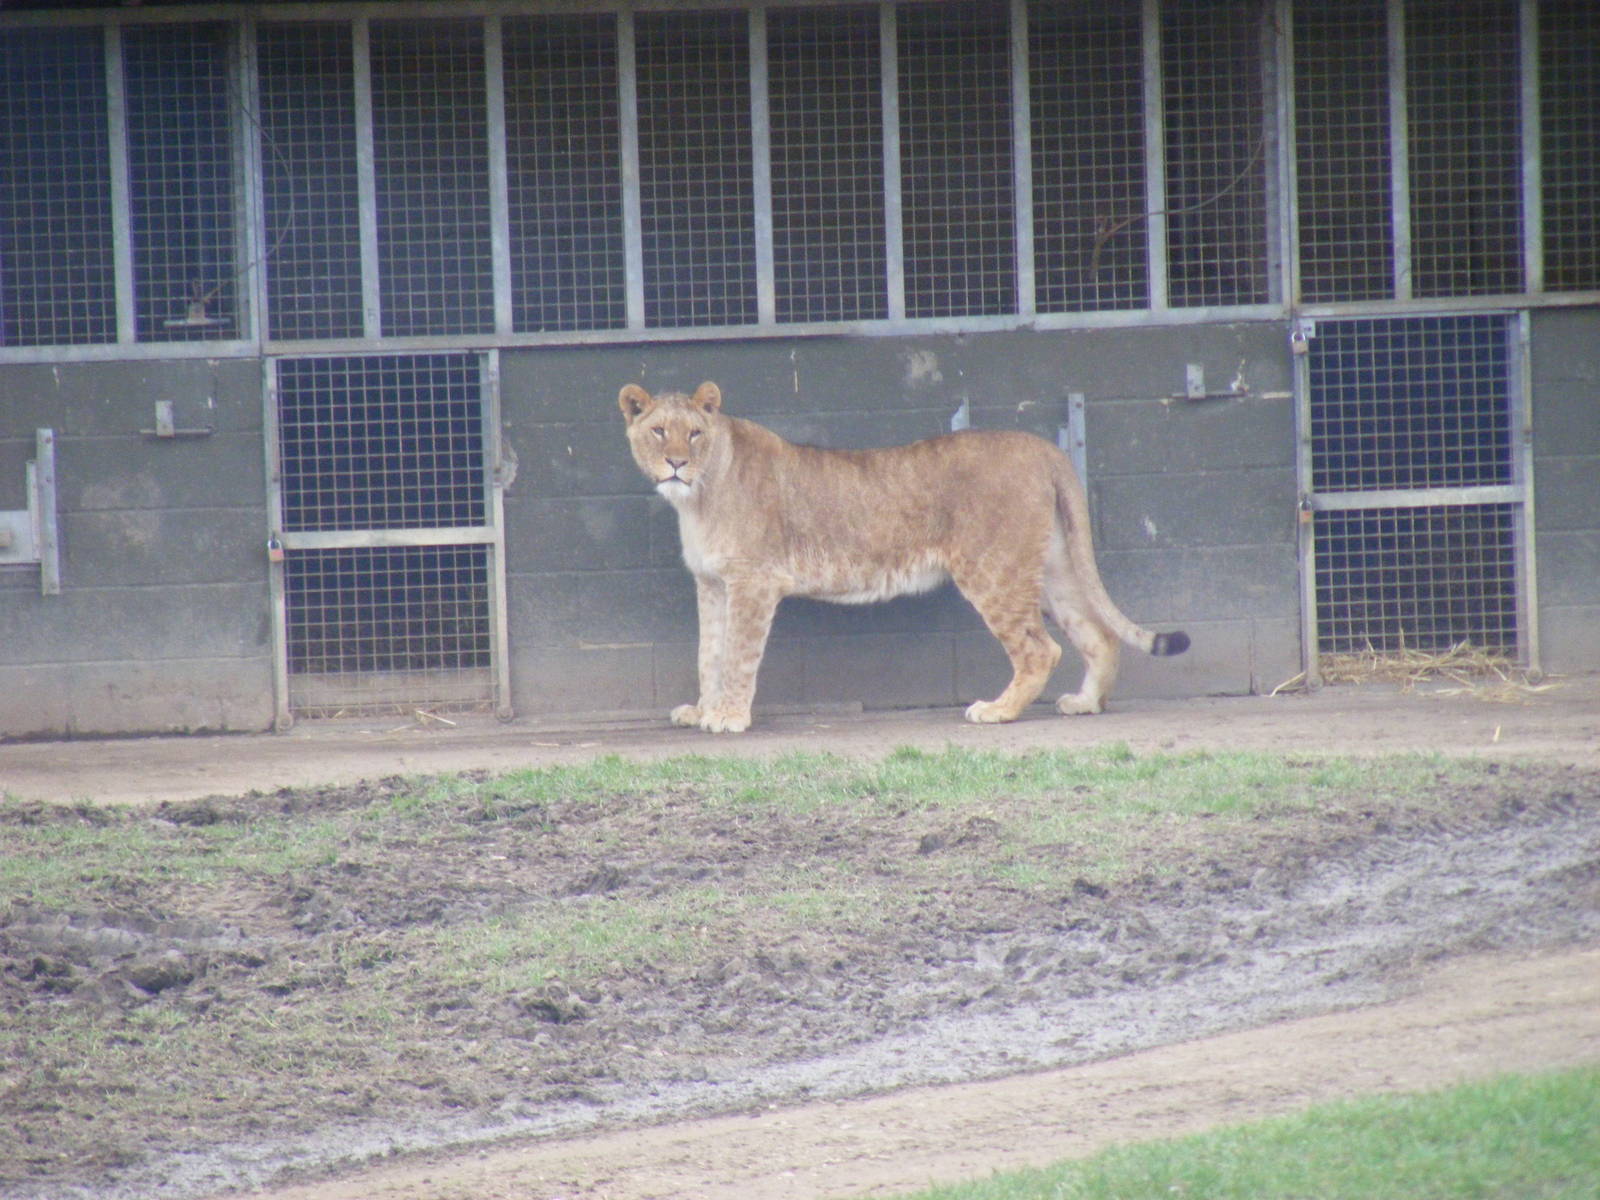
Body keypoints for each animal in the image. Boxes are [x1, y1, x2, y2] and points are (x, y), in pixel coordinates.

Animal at [619, 381, 1189, 733]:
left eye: (694, 433)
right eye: (657, 431)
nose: (675, 463)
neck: (698, 497)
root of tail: (1043, 447)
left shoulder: (754, 582)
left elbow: (737, 654)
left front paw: (729, 716)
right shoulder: (712, 584)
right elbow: (708, 653)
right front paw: (702, 709)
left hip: (994, 571)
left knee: (1038, 649)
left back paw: (998, 710)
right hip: (1052, 568)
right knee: (1098, 634)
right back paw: (1086, 703)